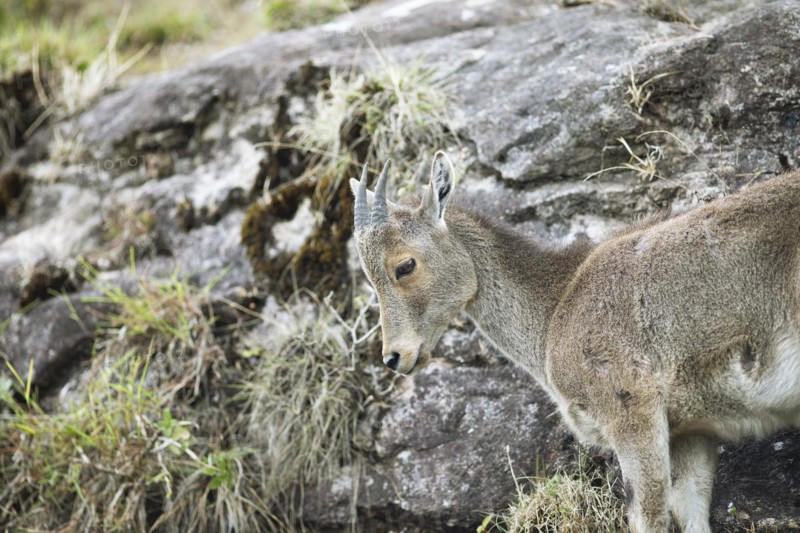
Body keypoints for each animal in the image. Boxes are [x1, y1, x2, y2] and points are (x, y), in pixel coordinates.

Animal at [350, 152, 800, 533]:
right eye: (369, 278)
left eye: (404, 265)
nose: (394, 357)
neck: (557, 306)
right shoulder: (691, 430)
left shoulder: (631, 409)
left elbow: (647, 516)